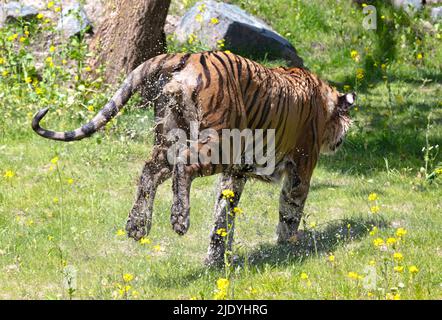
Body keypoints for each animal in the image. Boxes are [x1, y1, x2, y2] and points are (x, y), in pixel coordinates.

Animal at [32, 51, 356, 266]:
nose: (341, 141)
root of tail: (189, 55)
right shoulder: (301, 165)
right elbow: (290, 210)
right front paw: (288, 246)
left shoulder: (236, 174)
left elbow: (223, 215)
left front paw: (215, 260)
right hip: (220, 142)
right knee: (183, 167)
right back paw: (179, 220)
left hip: (170, 136)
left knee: (149, 170)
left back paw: (137, 226)